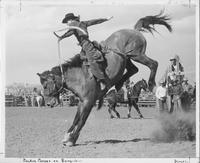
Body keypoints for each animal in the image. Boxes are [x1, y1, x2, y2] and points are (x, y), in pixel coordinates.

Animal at [37, 11, 172, 146]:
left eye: (45, 85)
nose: (47, 103)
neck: (80, 76)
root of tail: (134, 30)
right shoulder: (82, 101)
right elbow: (76, 119)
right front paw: (68, 137)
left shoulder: (89, 102)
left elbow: (82, 121)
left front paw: (71, 139)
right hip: (126, 58)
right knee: (134, 69)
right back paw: (119, 83)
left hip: (136, 54)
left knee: (153, 64)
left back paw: (151, 83)